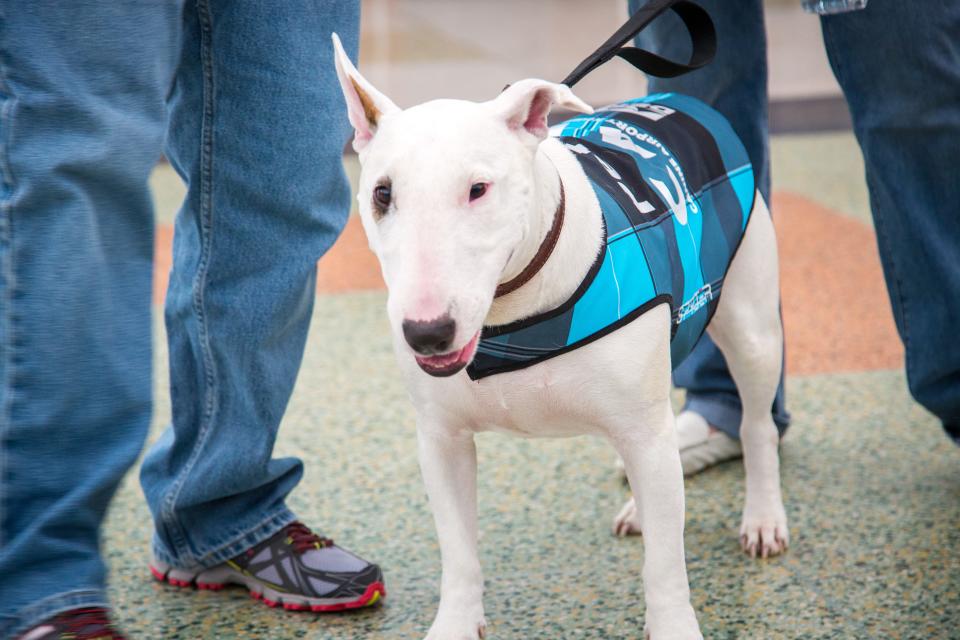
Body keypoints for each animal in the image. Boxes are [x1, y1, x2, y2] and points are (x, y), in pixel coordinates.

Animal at [330, 35, 788, 640]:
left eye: (478, 189)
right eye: (382, 194)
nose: (427, 334)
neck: (514, 315)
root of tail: (679, 100)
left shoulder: (644, 427)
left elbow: (666, 565)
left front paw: (672, 622)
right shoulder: (442, 439)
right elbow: (458, 551)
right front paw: (457, 621)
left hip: (750, 324)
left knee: (756, 426)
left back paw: (763, 518)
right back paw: (644, 510)